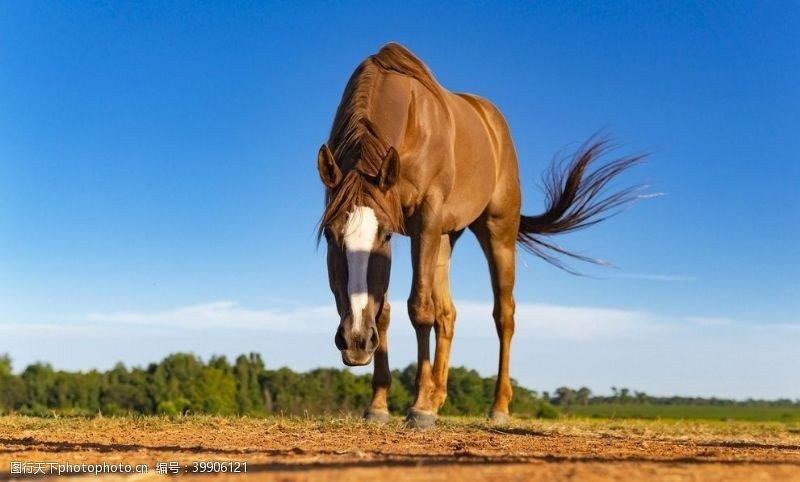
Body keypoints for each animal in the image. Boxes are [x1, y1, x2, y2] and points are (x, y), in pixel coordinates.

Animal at [316, 41, 640, 426]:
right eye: (331, 236)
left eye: (384, 236)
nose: (355, 341)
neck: (409, 121)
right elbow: (386, 312)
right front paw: (379, 405)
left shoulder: (425, 220)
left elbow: (419, 309)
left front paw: (419, 407)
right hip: (445, 238)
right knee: (448, 314)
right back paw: (437, 396)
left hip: (496, 232)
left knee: (504, 316)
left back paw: (496, 407)